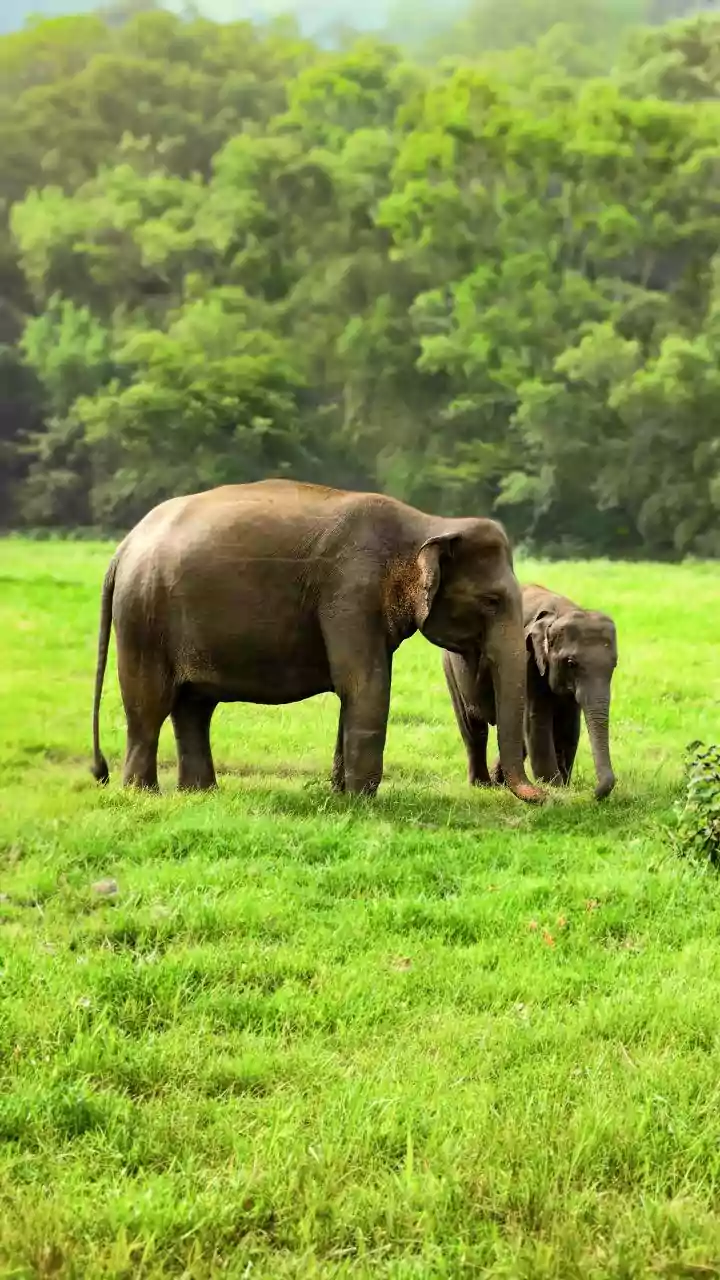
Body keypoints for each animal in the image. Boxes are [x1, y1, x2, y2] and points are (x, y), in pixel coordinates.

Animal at [90, 479, 546, 803]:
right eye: (491, 601)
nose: (541, 796)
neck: (430, 523)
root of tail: (123, 548)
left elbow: (355, 689)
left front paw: (341, 794)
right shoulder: (352, 593)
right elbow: (365, 685)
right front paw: (364, 801)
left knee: (193, 707)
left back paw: (200, 794)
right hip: (143, 617)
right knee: (149, 705)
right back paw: (144, 794)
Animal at [443, 583, 618, 801]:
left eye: (614, 665)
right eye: (571, 663)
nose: (593, 794)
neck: (560, 612)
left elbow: (570, 726)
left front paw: (563, 786)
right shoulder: (529, 661)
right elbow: (537, 722)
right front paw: (555, 787)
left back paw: (498, 781)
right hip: (450, 665)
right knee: (473, 727)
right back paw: (482, 785)